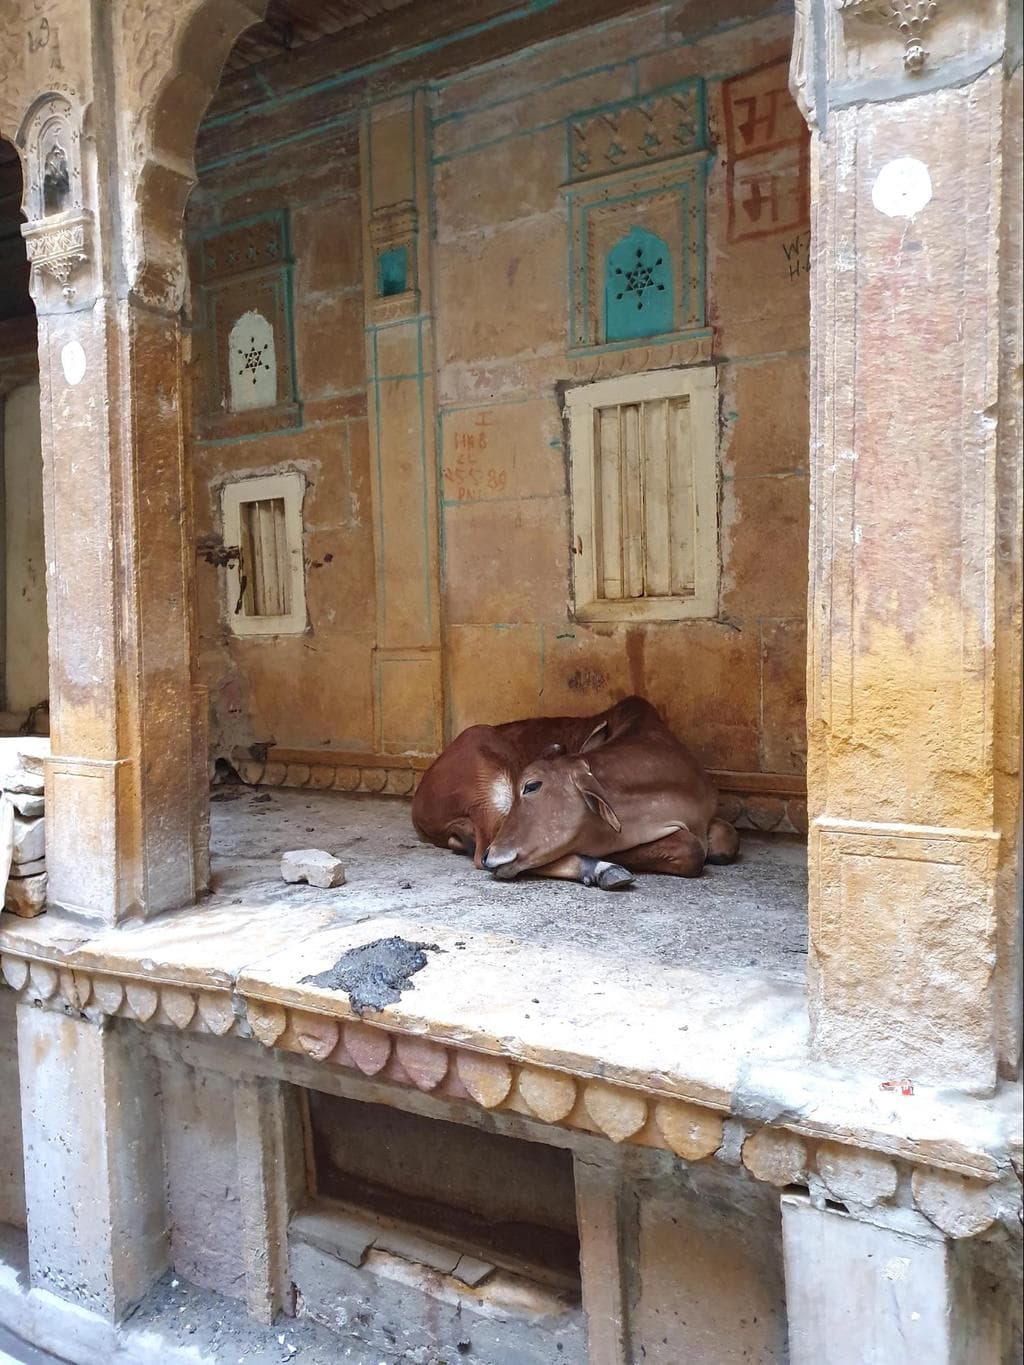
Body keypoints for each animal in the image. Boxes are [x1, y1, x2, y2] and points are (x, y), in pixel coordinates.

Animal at [412, 698, 742, 889]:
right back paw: (602, 869)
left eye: (532, 785)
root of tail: (419, 805)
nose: (496, 856)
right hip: (488, 783)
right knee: (484, 851)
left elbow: (727, 839)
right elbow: (691, 849)